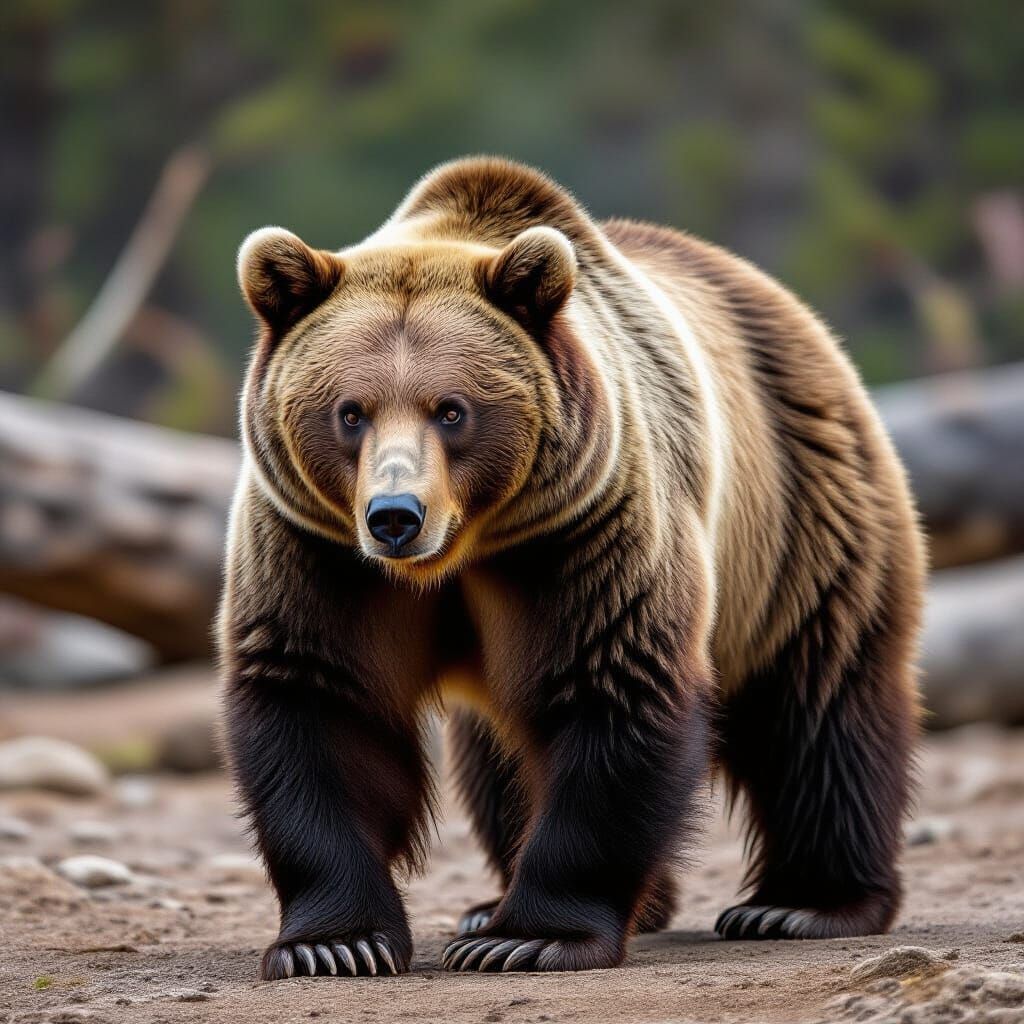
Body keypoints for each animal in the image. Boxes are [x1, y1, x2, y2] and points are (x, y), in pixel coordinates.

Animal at [219, 156, 924, 980]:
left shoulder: (585, 532)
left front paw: (527, 936)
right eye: (349, 411)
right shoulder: (318, 551)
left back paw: (801, 903)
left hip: (803, 515)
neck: (463, 552)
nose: (395, 515)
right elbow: (320, 702)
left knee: (820, 704)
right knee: (496, 756)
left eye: (451, 409)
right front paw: (334, 943)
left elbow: (612, 688)